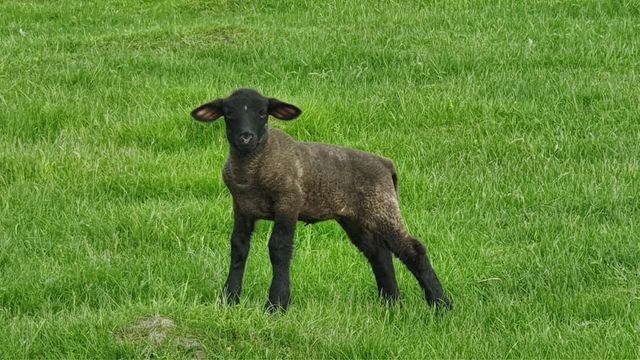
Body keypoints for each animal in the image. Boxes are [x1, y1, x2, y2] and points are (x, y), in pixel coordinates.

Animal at [189, 88, 450, 310]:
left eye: (262, 113)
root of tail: (386, 165)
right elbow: (239, 247)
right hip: (355, 217)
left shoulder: (289, 202)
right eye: (229, 113)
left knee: (413, 250)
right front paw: (229, 299)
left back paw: (441, 305)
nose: (246, 137)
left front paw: (277, 305)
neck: (254, 167)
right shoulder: (241, 207)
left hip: (382, 206)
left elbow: (279, 248)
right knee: (379, 253)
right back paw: (391, 303)